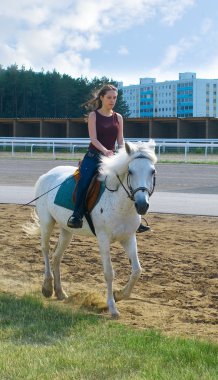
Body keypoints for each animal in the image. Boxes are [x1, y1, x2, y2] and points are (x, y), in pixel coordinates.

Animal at [26, 140, 157, 318]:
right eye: (131, 171)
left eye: (152, 171)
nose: (142, 205)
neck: (119, 203)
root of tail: (47, 175)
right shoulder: (103, 239)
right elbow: (109, 273)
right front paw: (112, 307)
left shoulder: (128, 238)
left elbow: (137, 271)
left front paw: (119, 295)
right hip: (47, 222)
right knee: (45, 249)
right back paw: (47, 287)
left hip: (66, 230)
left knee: (56, 256)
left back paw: (60, 292)